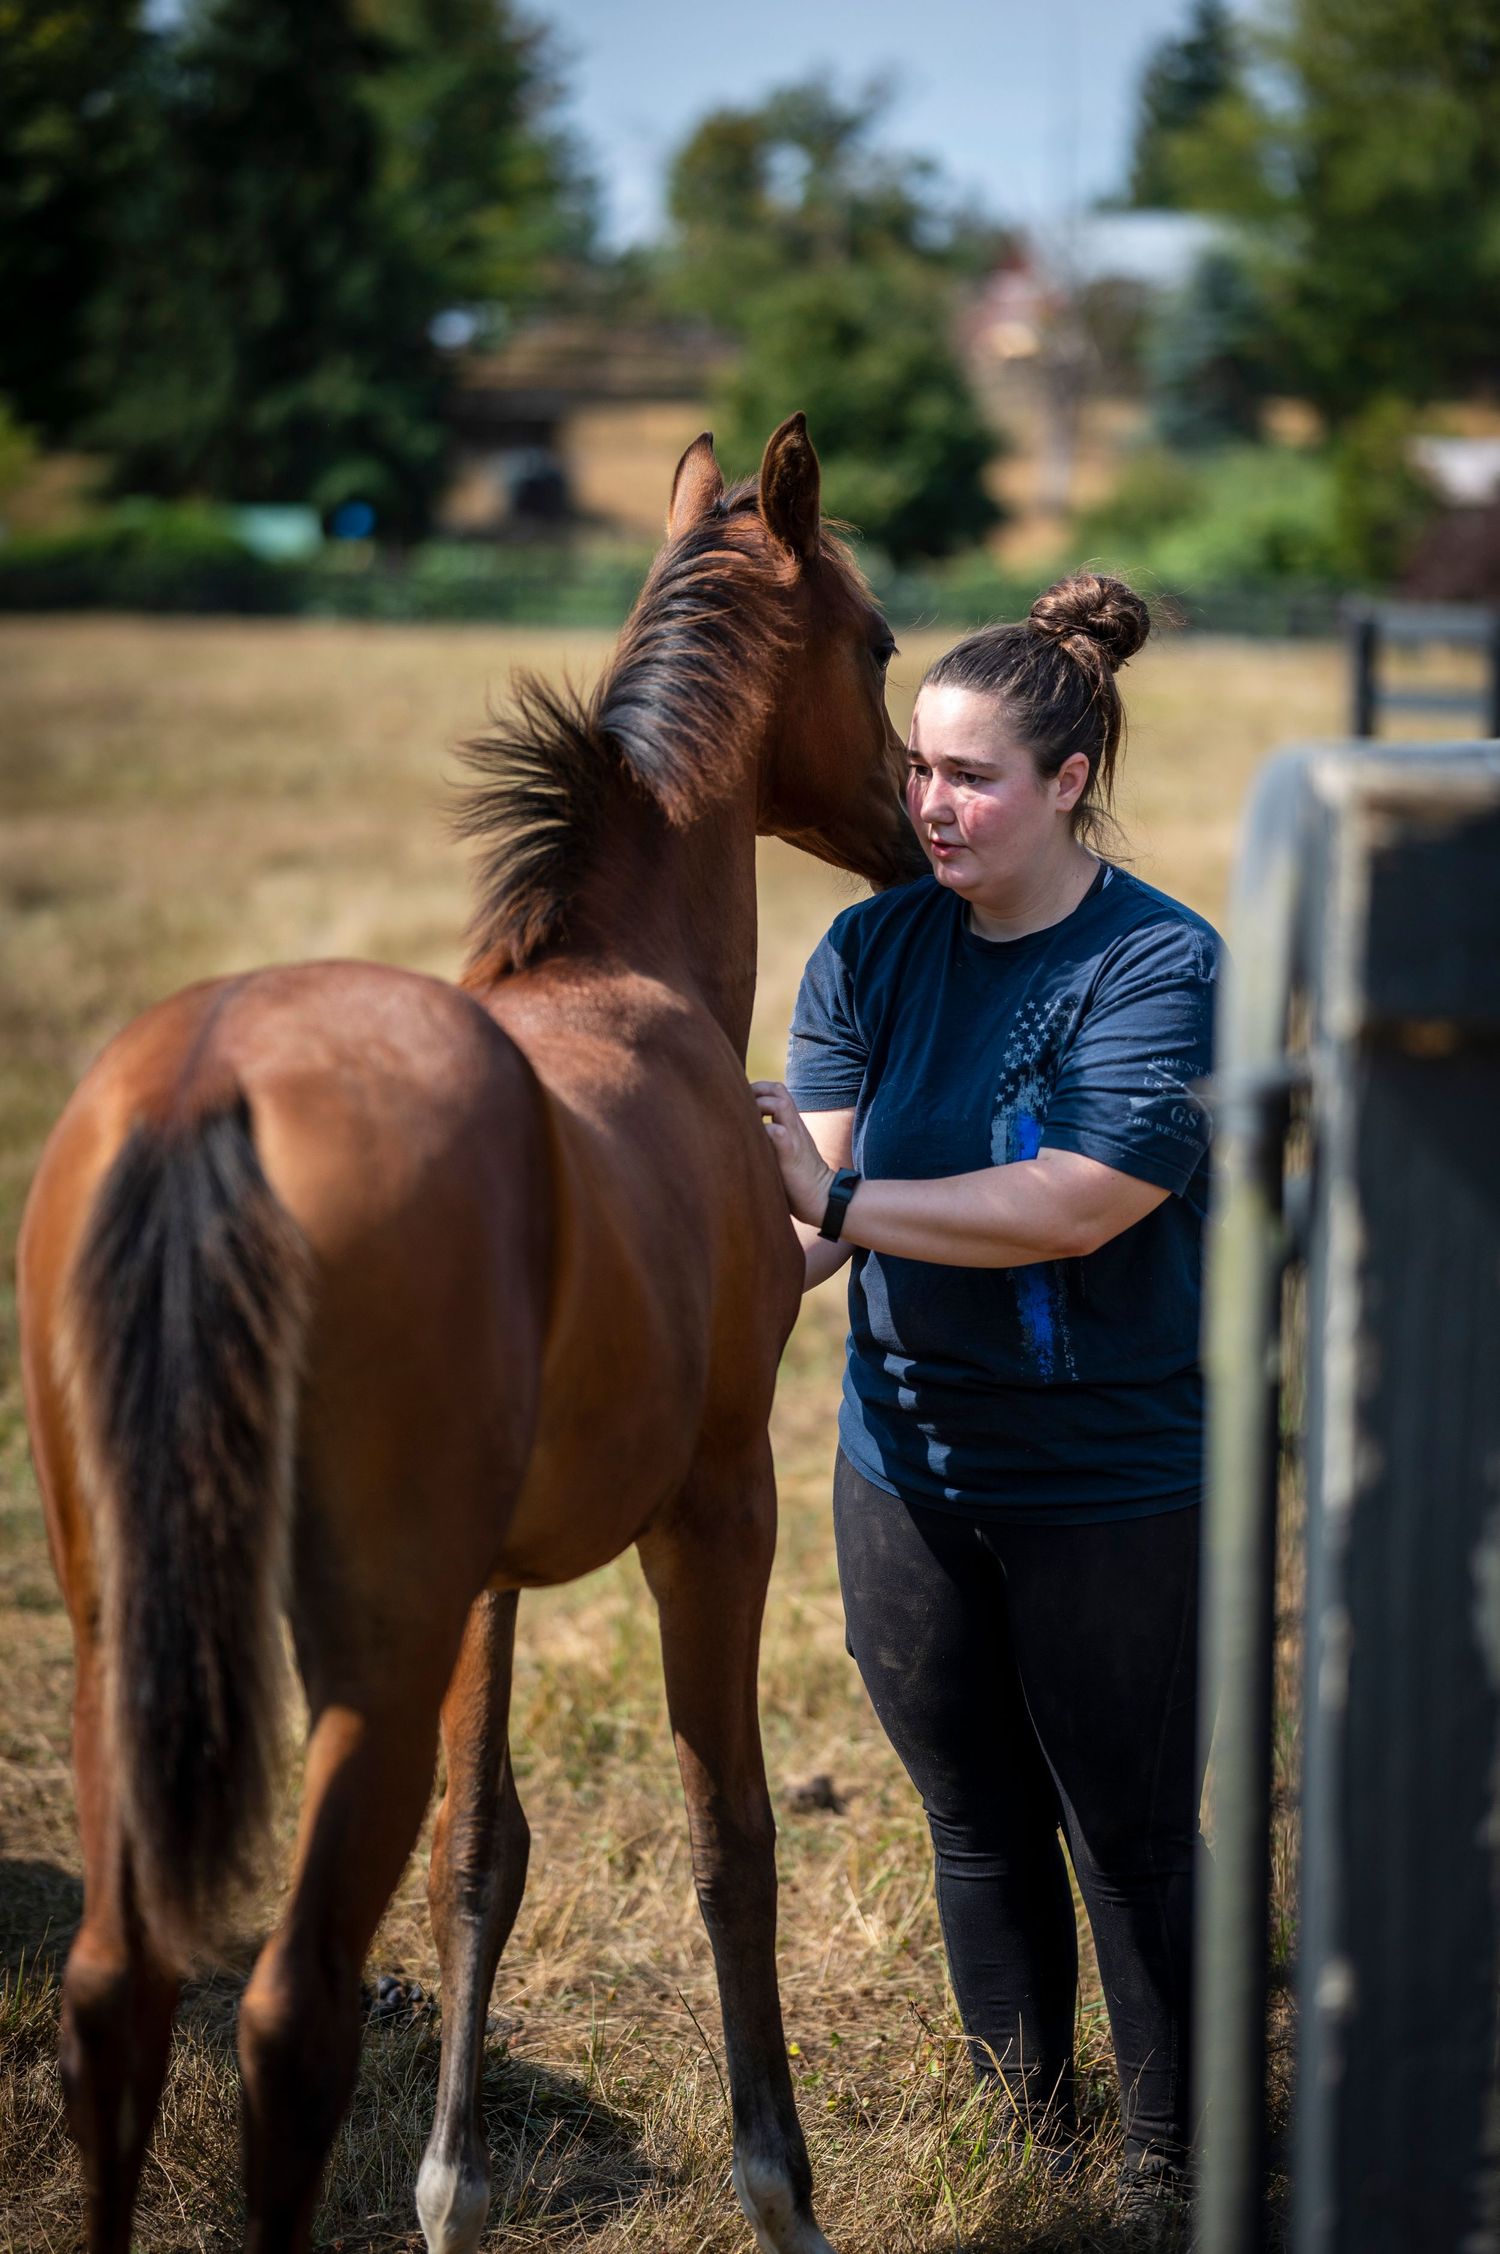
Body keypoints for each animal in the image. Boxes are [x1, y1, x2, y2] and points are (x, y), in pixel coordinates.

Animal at [17, 413, 926, 2254]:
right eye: (876, 644)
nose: (916, 837)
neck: (622, 973)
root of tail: (208, 1080)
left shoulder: (492, 1578)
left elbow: (481, 1851)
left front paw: (455, 2183)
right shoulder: (717, 1506)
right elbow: (730, 1832)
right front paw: (778, 2185)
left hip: (123, 1630)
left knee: (117, 1985)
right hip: (366, 1647)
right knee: (289, 2008)